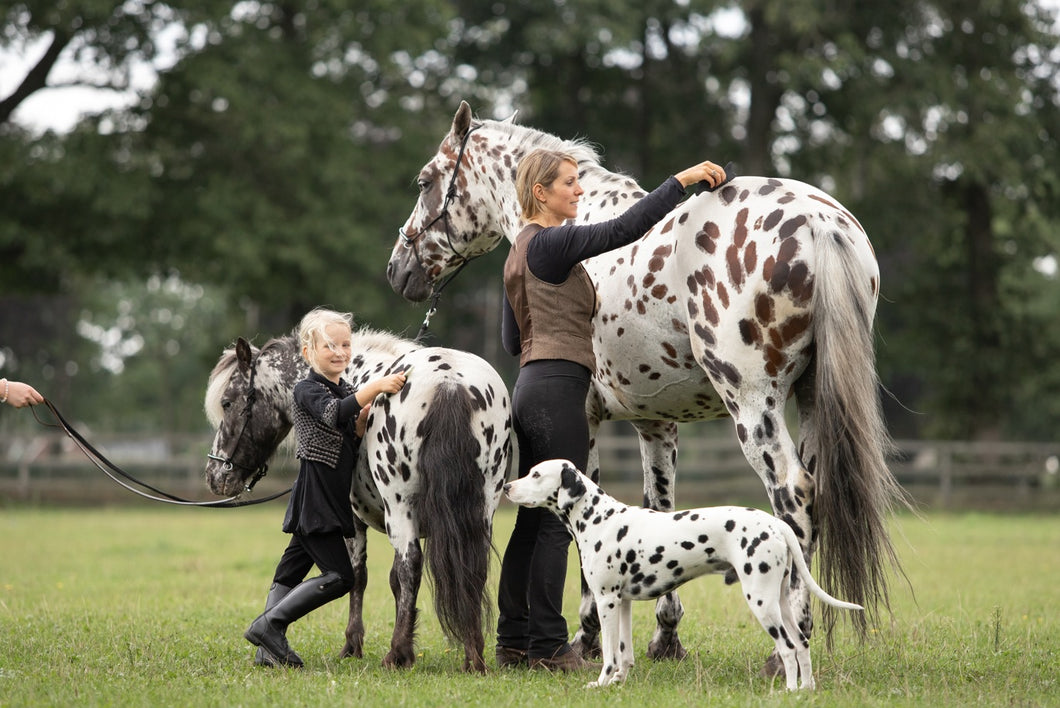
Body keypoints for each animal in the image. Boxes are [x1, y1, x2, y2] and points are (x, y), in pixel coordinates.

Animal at [203, 328, 513, 674]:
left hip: (400, 508)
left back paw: (397, 653)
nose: (215, 476)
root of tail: (448, 381)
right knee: (473, 570)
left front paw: (353, 645)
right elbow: (390, 581)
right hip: (482, 510)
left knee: (411, 565)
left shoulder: (352, 521)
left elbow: (360, 577)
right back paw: (473, 656)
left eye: (228, 402)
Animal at [502, 459, 860, 691]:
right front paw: (618, 682)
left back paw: (790, 691)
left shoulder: (605, 602)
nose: (506, 486)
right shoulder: (623, 603)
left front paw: (602, 682)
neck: (599, 518)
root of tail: (776, 524)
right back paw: (807, 689)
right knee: (801, 643)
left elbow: (609, 653)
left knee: (787, 647)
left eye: (535, 474)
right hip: (781, 600)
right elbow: (624, 653)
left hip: (762, 602)